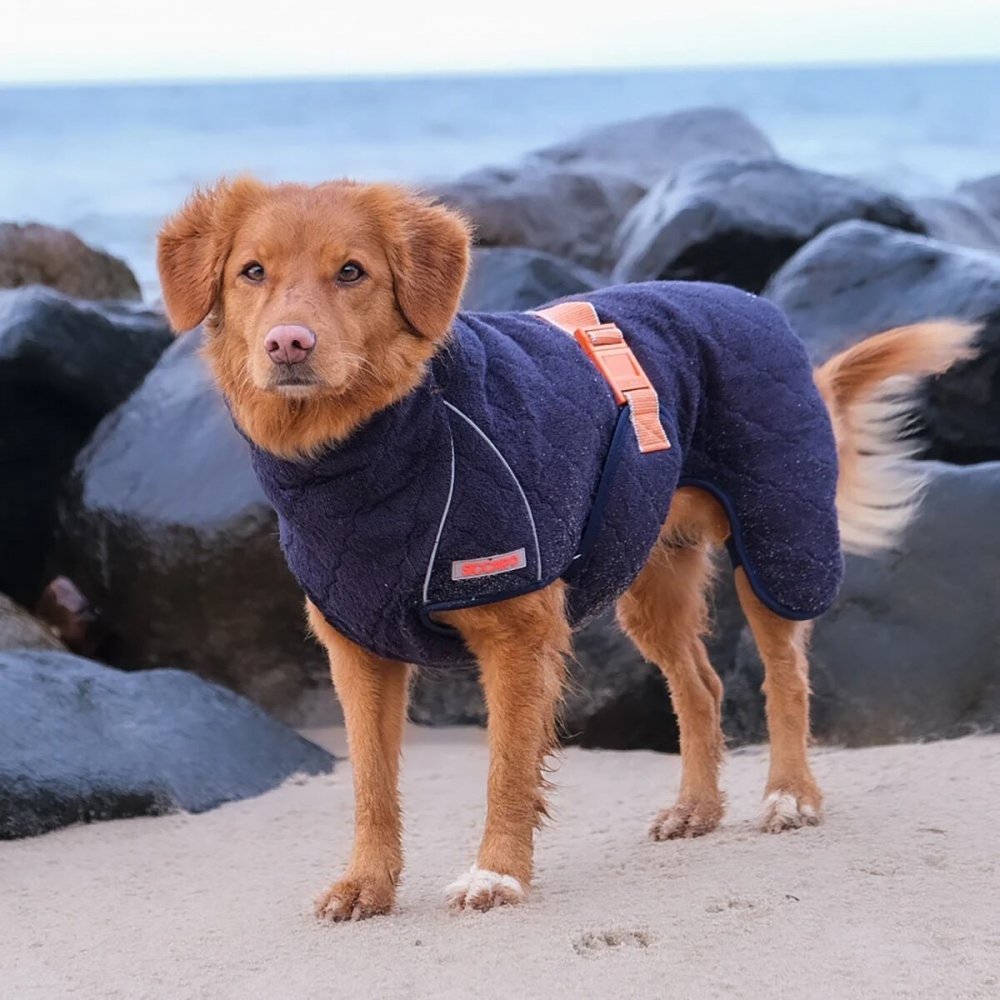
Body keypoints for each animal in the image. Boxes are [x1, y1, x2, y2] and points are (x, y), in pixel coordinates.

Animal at [158, 178, 976, 920]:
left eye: (352, 272)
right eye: (252, 272)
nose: (288, 344)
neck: (376, 450)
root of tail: (757, 304)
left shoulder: (517, 630)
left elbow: (508, 766)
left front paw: (497, 874)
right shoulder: (358, 647)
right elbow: (371, 783)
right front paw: (369, 884)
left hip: (781, 539)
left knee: (786, 676)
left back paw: (790, 794)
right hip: (646, 573)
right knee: (703, 686)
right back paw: (697, 808)